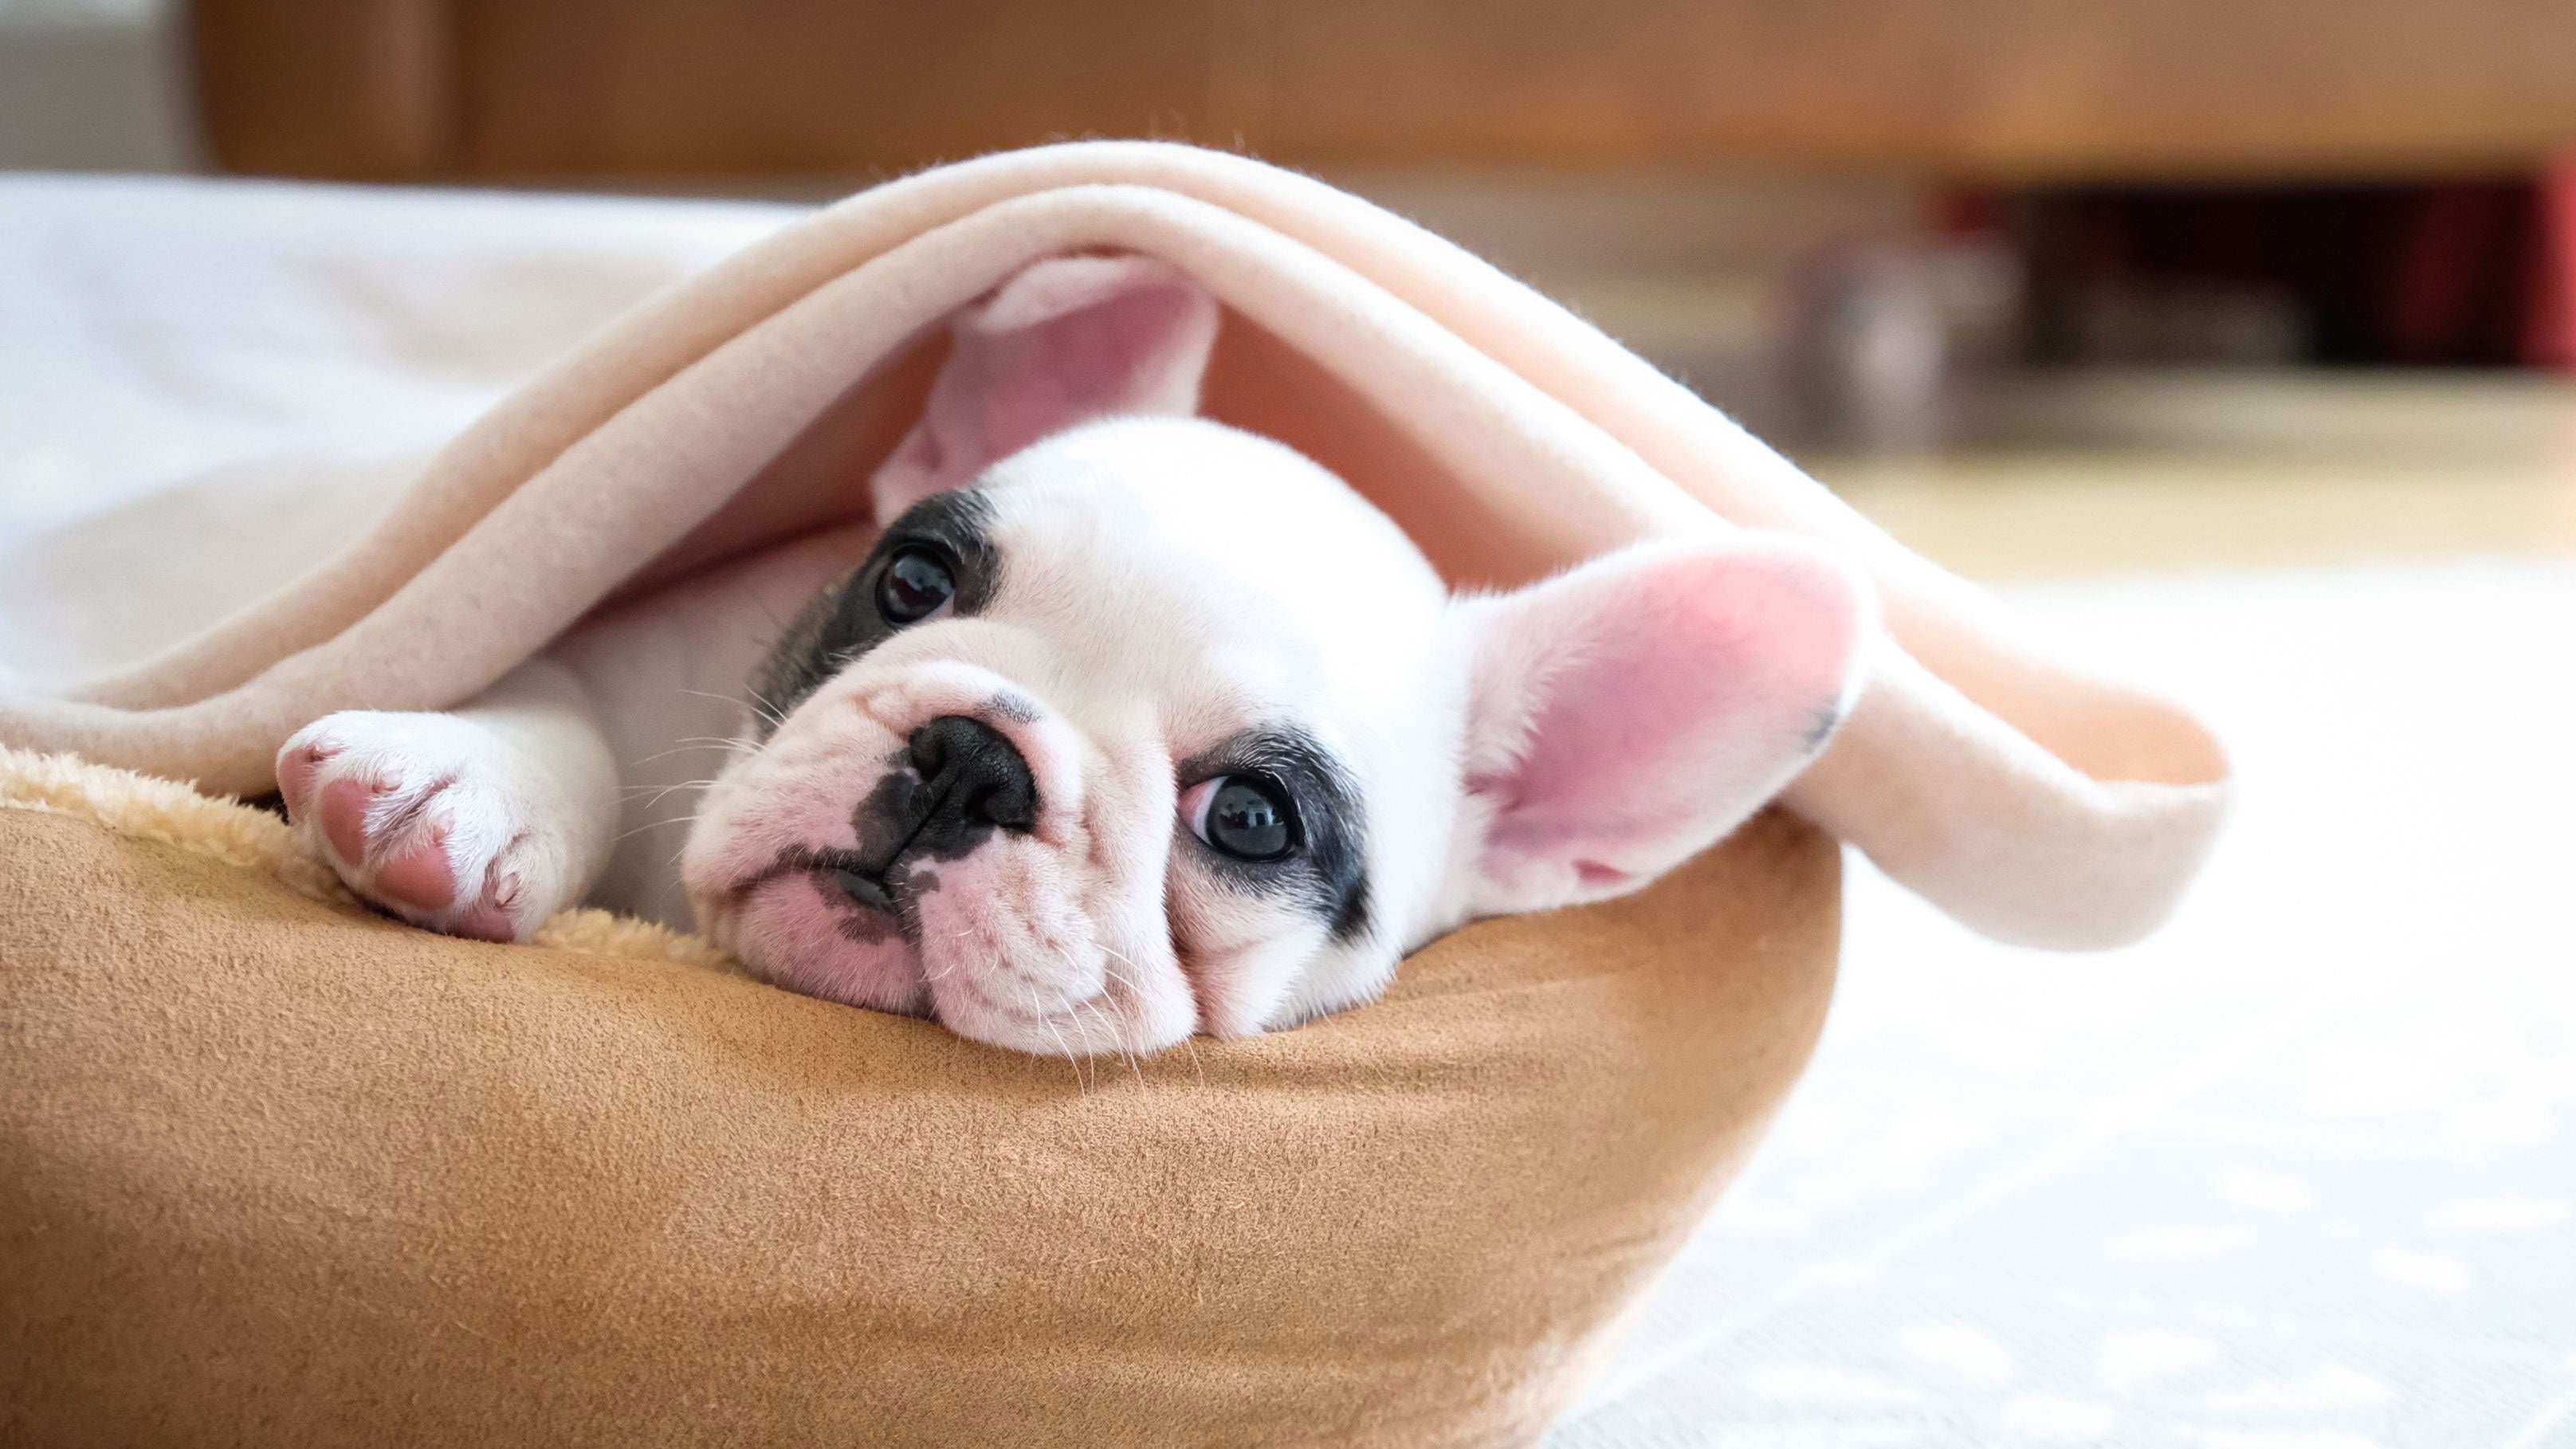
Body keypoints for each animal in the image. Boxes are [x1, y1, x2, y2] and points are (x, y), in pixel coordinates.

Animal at [271, 256, 1864, 1046]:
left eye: (1251, 817)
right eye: (911, 577)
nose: (971, 758)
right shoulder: (635, 642)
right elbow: (557, 701)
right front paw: (456, 786)